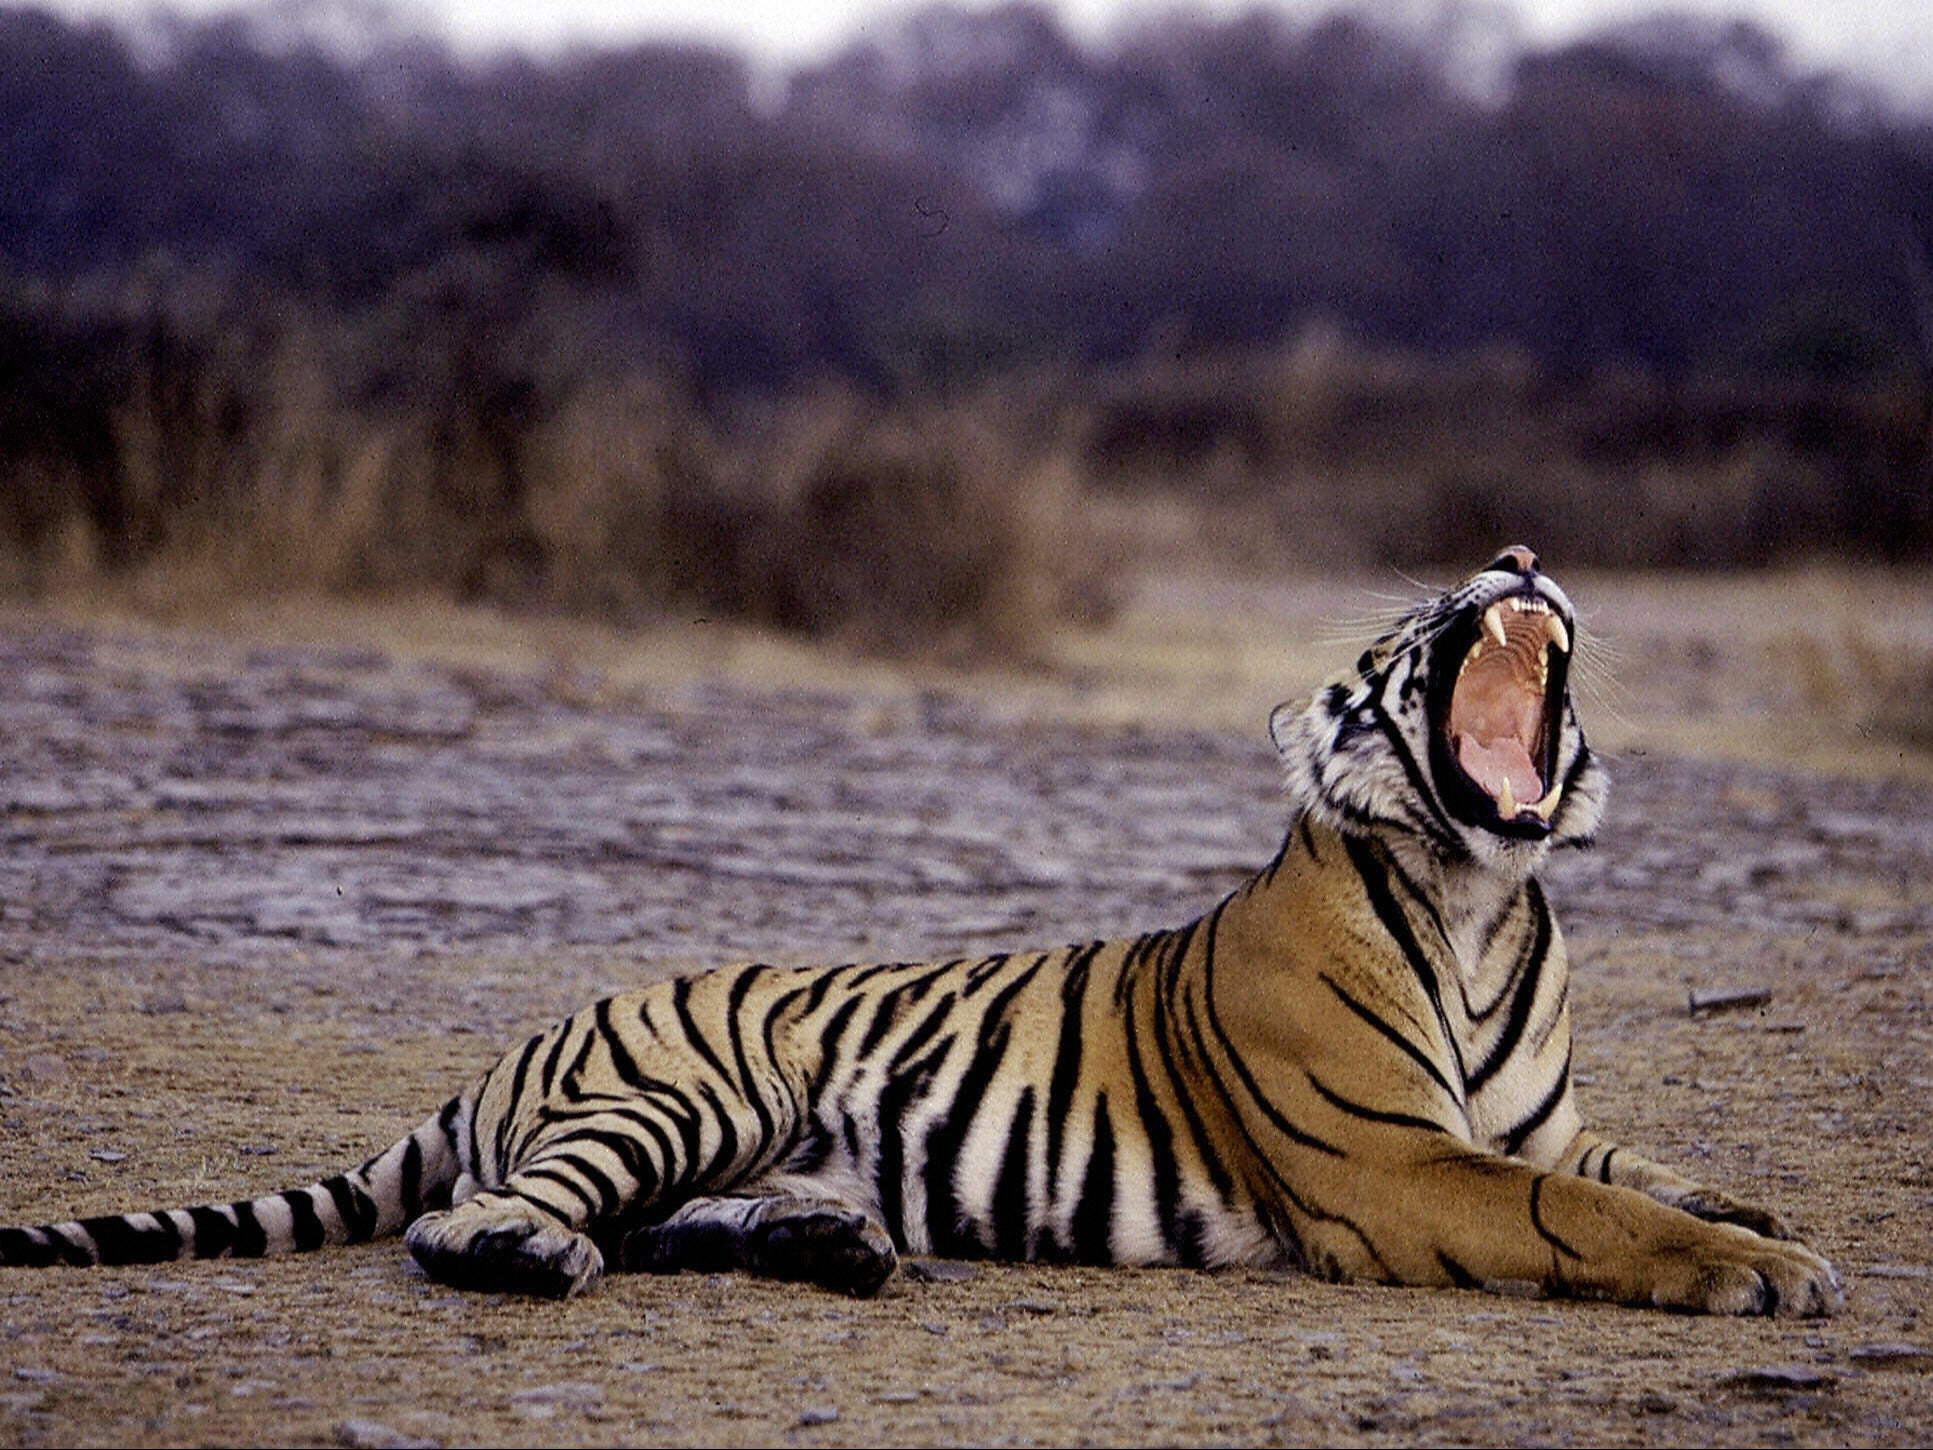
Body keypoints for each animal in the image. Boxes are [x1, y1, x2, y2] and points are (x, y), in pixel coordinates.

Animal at [3, 549, 1840, 1322]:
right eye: (1407, 623)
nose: (1517, 552)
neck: (1475, 896)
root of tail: (514, 1041)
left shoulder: (1538, 1122)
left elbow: (1633, 1169)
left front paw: (1753, 1214)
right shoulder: (1391, 1162)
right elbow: (1578, 1213)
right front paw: (1762, 1272)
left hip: (746, 1140)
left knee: (672, 1222)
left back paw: (834, 1247)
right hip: (688, 1091)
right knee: (484, 1220)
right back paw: (544, 1256)